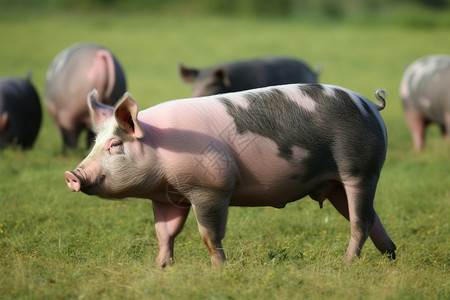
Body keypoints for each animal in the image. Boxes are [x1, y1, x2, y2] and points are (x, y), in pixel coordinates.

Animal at [65, 83, 396, 266]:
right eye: (94, 142)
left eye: (115, 145)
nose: (73, 174)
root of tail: (370, 105)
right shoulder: (168, 197)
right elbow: (165, 233)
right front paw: (161, 268)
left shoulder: (212, 186)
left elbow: (209, 235)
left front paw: (219, 269)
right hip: (337, 182)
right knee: (372, 218)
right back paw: (391, 257)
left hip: (361, 169)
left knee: (360, 221)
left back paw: (346, 265)